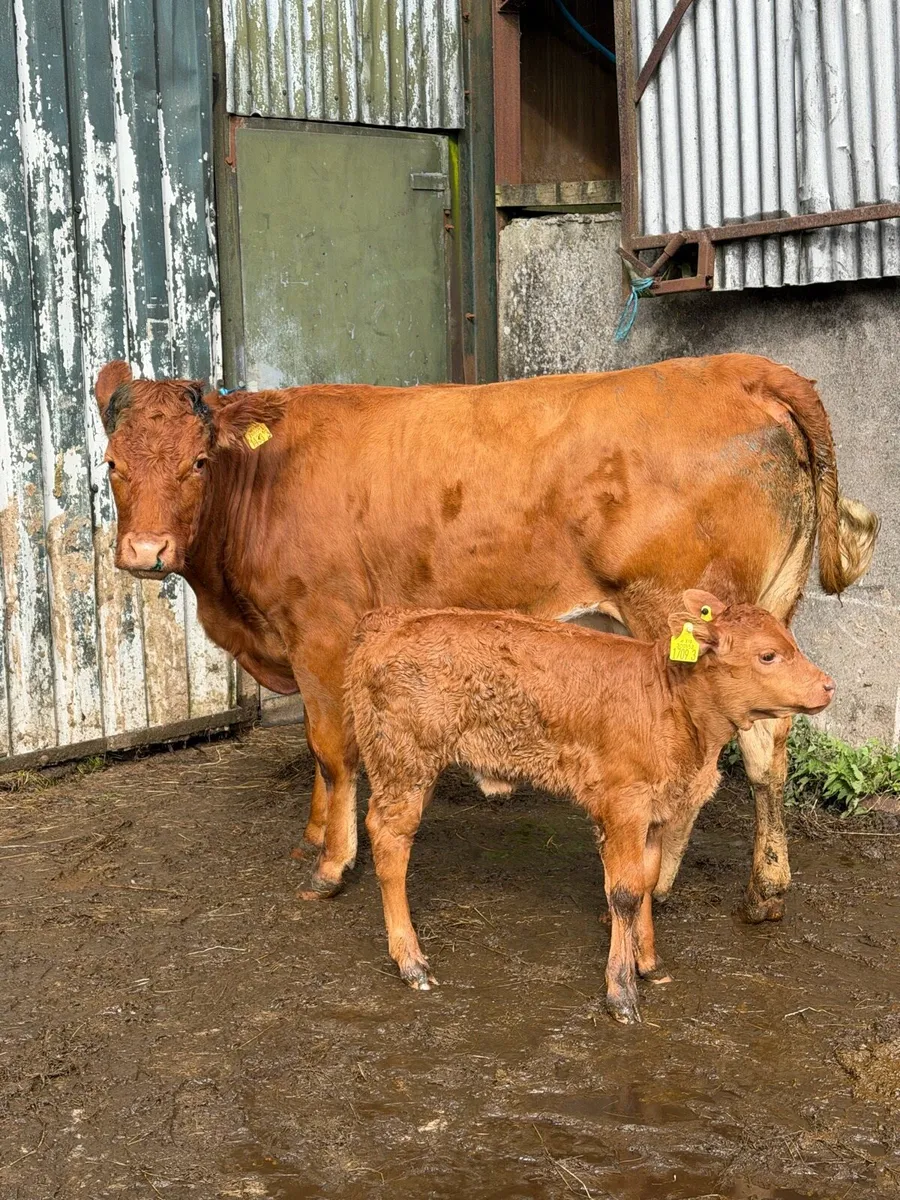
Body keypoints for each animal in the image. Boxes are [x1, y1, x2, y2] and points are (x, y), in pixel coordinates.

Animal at [94, 353, 877, 920]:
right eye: (112, 464)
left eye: (198, 462)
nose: (145, 552)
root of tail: (736, 367)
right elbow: (324, 755)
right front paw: (314, 836)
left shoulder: (321, 629)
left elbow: (331, 749)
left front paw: (331, 863)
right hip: (766, 619)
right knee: (768, 745)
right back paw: (765, 892)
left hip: (681, 617)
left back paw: (660, 884)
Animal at [347, 594, 835, 1023]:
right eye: (768, 655)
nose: (828, 685)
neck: (672, 704)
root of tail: (388, 620)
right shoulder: (624, 806)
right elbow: (623, 893)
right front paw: (621, 992)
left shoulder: (655, 812)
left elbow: (646, 881)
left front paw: (649, 963)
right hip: (404, 762)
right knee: (390, 841)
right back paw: (411, 962)